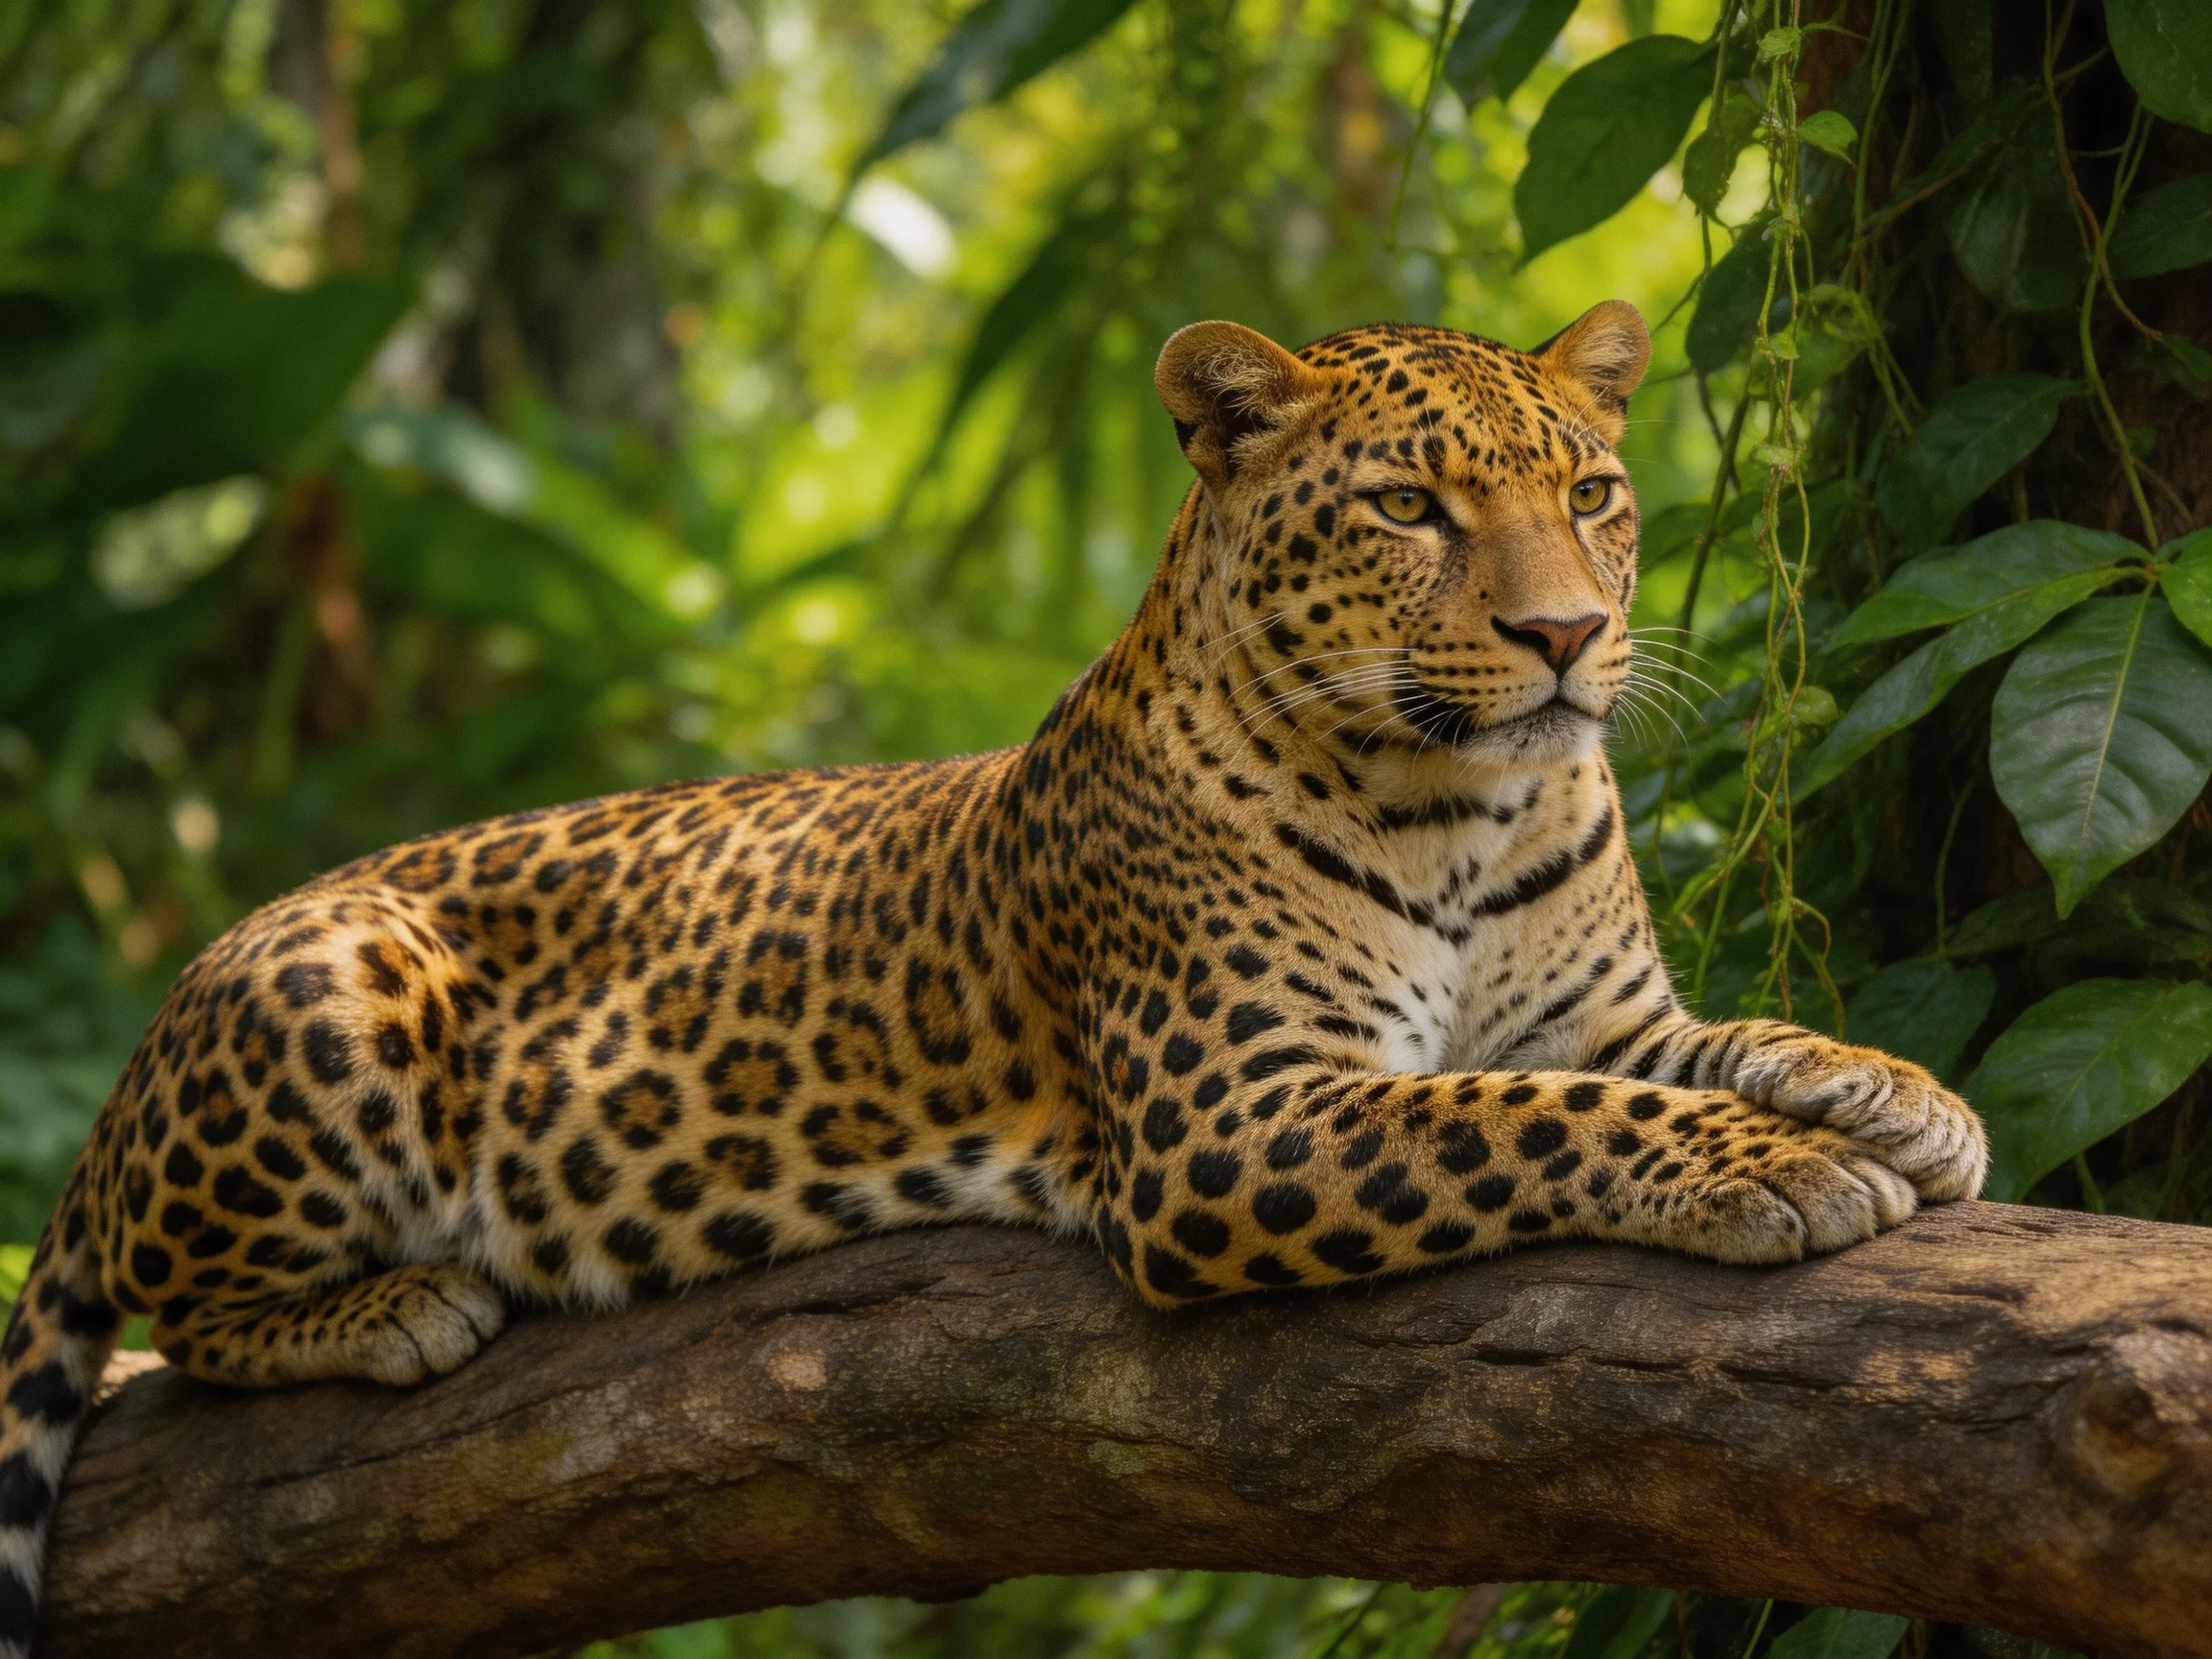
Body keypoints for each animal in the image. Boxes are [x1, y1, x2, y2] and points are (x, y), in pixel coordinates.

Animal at [0, 301, 1986, 1655]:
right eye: (1409, 508)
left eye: (1590, 494)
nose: (1565, 634)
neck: (1467, 806)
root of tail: (137, 1067)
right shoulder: (1227, 1123)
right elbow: (1528, 1112)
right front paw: (1775, 1168)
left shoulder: (1608, 1011)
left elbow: (1703, 1040)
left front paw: (1895, 1094)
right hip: (328, 990)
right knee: (179, 1300)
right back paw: (397, 1304)